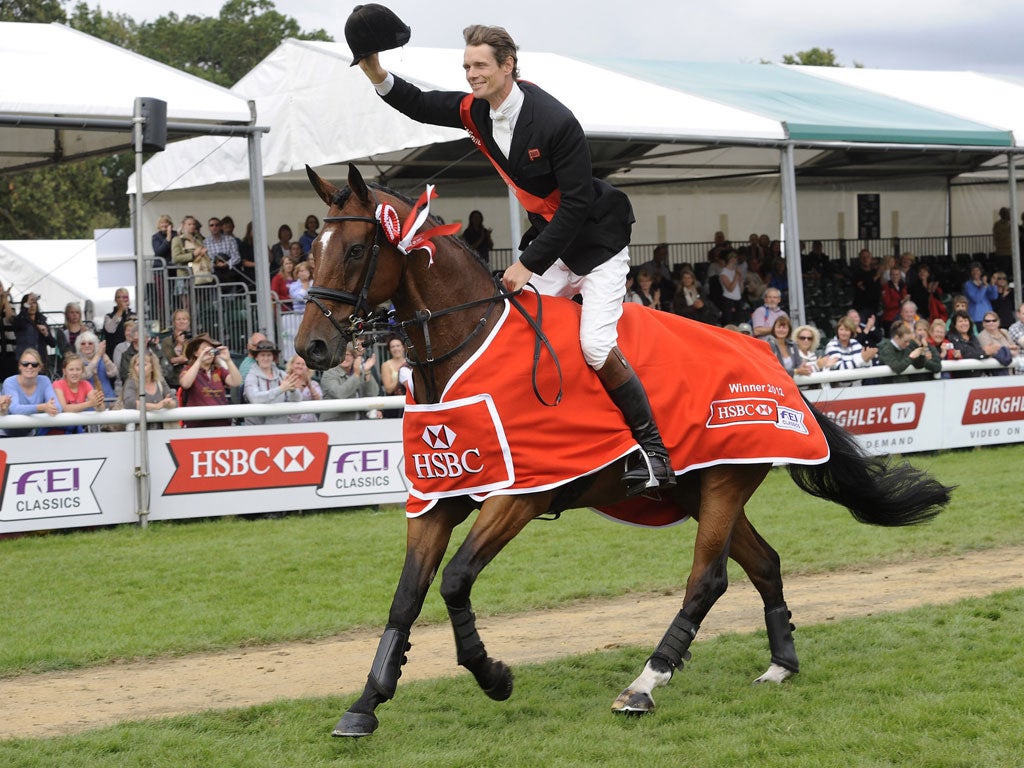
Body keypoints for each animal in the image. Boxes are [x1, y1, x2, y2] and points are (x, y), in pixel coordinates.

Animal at [294, 166, 950, 741]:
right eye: (311, 251)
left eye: (356, 250)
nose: (312, 348)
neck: (463, 350)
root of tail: (771, 360)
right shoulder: (436, 498)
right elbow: (406, 598)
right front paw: (366, 704)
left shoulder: (520, 497)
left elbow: (455, 581)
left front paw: (493, 675)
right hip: (701, 490)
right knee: (764, 564)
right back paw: (780, 664)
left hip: (724, 484)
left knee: (706, 580)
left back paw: (645, 684)